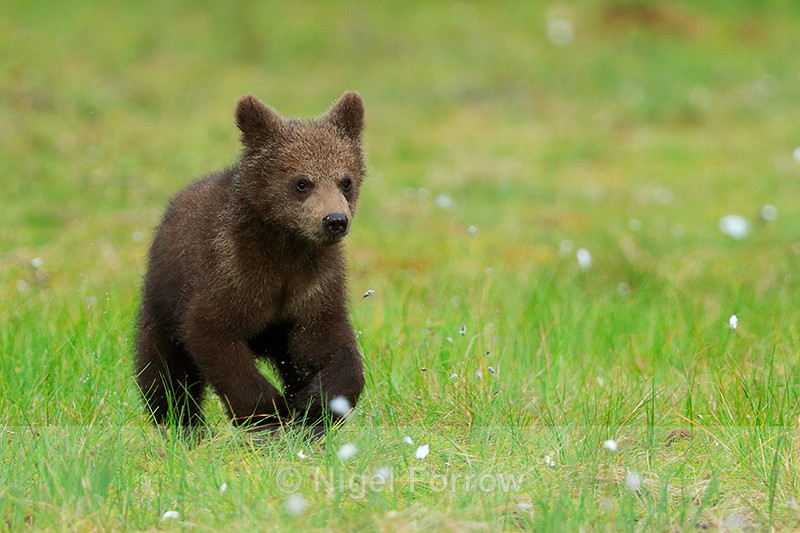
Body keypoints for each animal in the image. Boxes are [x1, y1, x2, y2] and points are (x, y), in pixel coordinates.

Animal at [134, 92, 366, 436]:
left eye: (346, 181)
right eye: (302, 182)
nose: (334, 220)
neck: (284, 246)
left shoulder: (312, 287)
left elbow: (328, 343)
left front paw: (315, 403)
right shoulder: (231, 272)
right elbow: (212, 333)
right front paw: (269, 411)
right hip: (161, 304)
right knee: (164, 371)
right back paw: (181, 424)